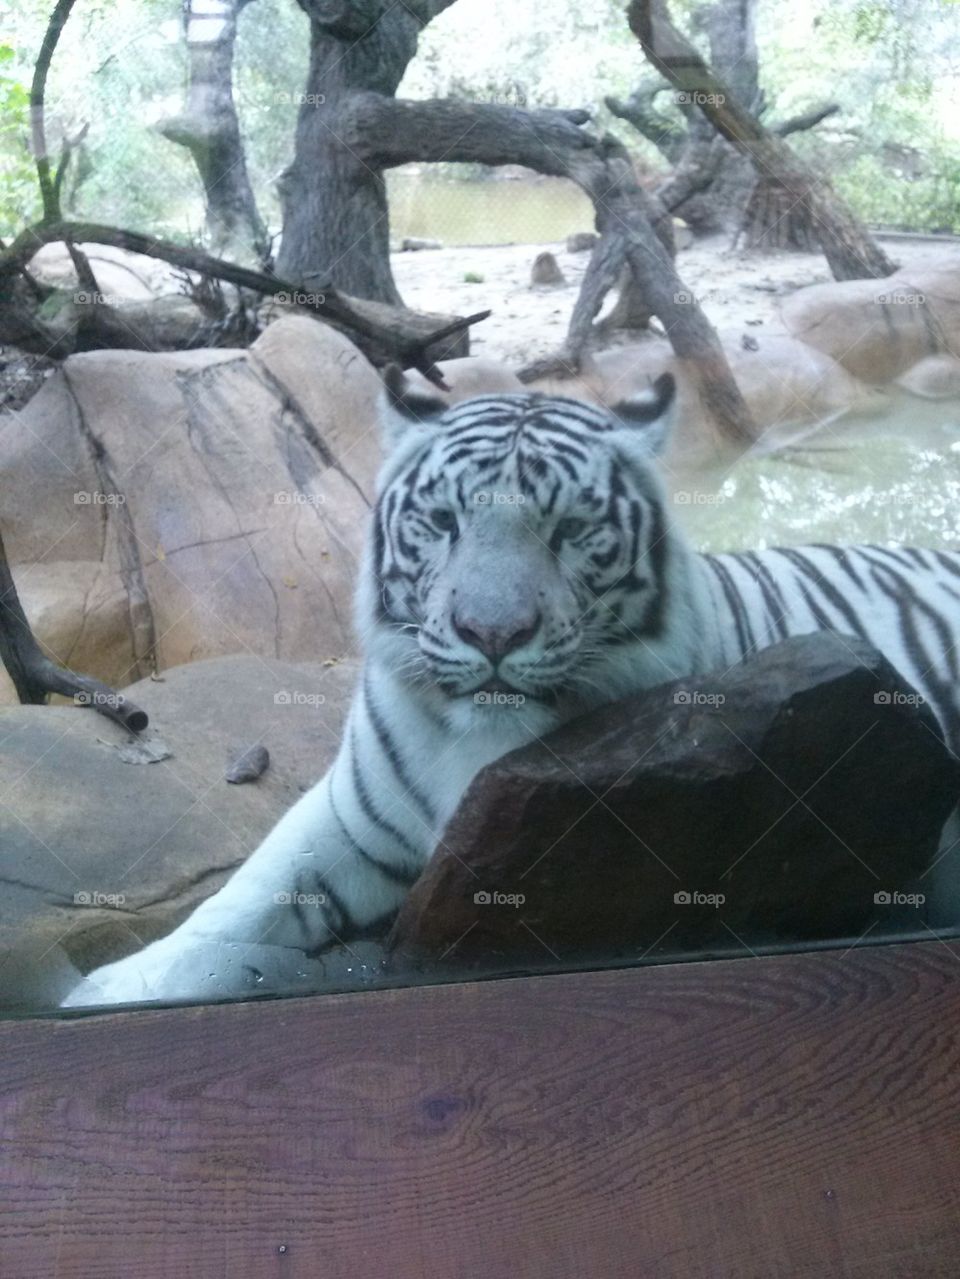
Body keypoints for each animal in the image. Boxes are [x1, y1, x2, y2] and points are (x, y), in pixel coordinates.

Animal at [63, 367, 960, 1006]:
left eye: (572, 529)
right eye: (443, 522)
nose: (492, 634)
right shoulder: (345, 821)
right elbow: (239, 900)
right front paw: (107, 989)